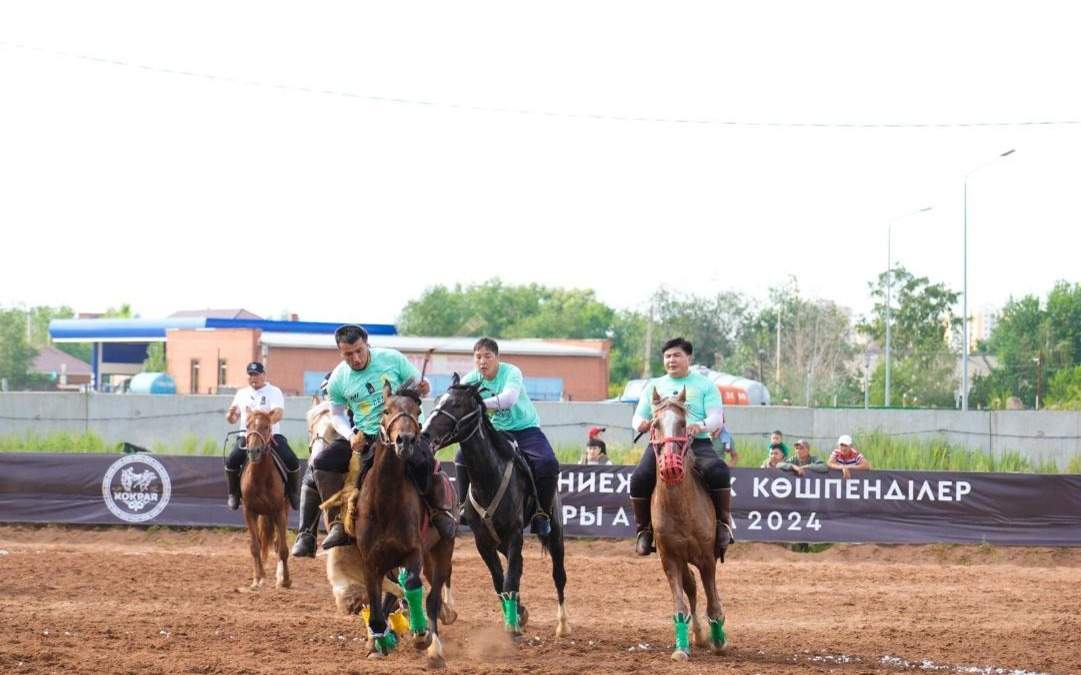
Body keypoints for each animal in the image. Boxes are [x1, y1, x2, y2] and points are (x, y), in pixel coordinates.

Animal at [241, 406, 291, 588]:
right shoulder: (249, 512)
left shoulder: (278, 511)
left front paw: (286, 580)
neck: (260, 477)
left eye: (266, 426)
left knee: (277, 544)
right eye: (247, 425)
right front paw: (258, 578)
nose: (253, 451)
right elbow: (255, 546)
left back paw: (280, 577)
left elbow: (283, 548)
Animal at [421, 374, 575, 636]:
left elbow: (510, 579)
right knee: (519, 567)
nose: (424, 434)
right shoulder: (483, 541)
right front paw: (516, 615)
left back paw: (563, 625)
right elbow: (499, 580)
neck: (489, 476)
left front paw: (512, 625)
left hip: (555, 533)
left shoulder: (514, 534)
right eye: (439, 399)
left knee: (559, 575)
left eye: (456, 404)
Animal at [644, 387, 730, 662]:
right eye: (655, 424)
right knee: (690, 586)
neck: (680, 509)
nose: (671, 465)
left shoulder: (707, 558)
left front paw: (719, 641)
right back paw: (698, 634)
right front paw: (681, 648)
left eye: (683, 423)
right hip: (682, 559)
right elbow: (680, 603)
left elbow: (713, 601)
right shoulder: (669, 558)